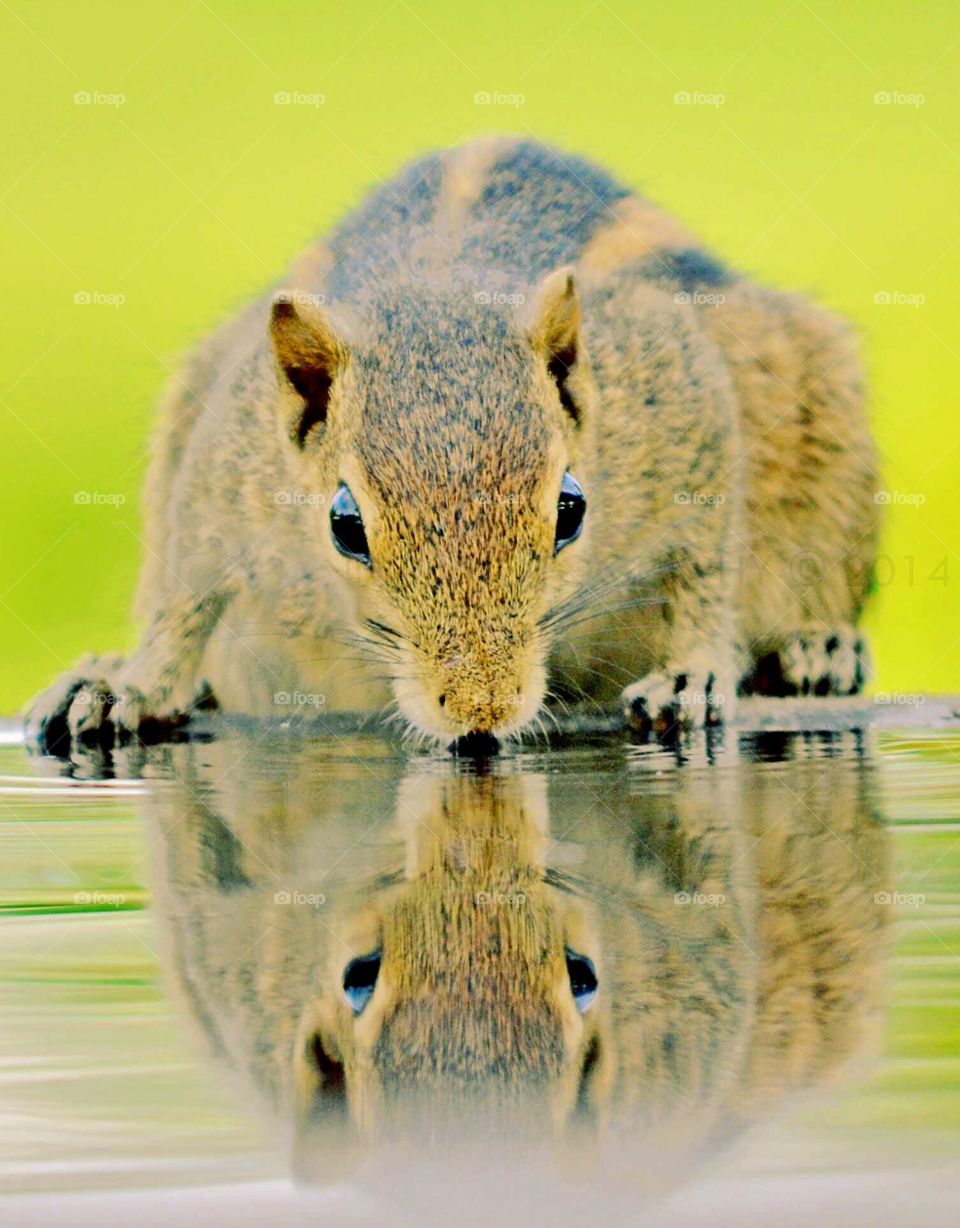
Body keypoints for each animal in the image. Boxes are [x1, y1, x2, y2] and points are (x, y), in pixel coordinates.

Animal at [26, 136, 880, 750]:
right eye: (345, 527)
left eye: (571, 510)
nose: (480, 711)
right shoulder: (221, 465)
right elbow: (184, 590)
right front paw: (134, 684)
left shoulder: (687, 402)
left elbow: (705, 564)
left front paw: (691, 675)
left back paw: (819, 647)